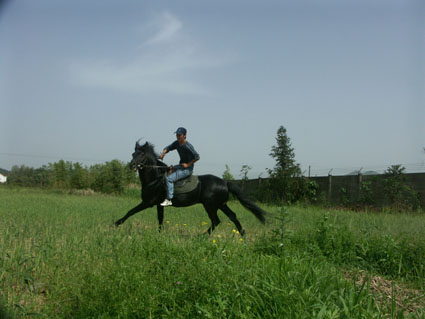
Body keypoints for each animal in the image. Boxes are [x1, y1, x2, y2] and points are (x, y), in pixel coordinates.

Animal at [112, 142, 264, 235]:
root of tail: (225, 182)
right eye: (133, 154)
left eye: (142, 154)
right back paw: (242, 234)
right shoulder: (158, 205)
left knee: (216, 220)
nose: (131, 166)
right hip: (221, 204)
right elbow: (160, 219)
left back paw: (201, 236)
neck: (155, 178)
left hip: (211, 206)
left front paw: (116, 223)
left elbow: (130, 211)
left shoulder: (148, 203)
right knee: (232, 216)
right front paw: (159, 234)